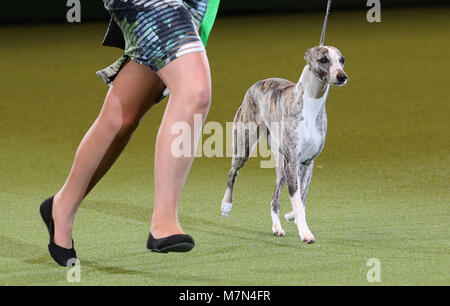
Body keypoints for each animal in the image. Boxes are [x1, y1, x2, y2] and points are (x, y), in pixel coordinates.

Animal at [221, 45, 348, 244]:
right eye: (323, 60)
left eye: (342, 60)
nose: (342, 76)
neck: (311, 106)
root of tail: (256, 84)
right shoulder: (293, 161)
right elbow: (297, 199)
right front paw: (306, 233)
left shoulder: (307, 163)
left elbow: (301, 197)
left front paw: (292, 216)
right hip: (244, 147)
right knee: (232, 172)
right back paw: (226, 206)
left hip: (281, 165)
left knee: (274, 200)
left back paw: (277, 228)